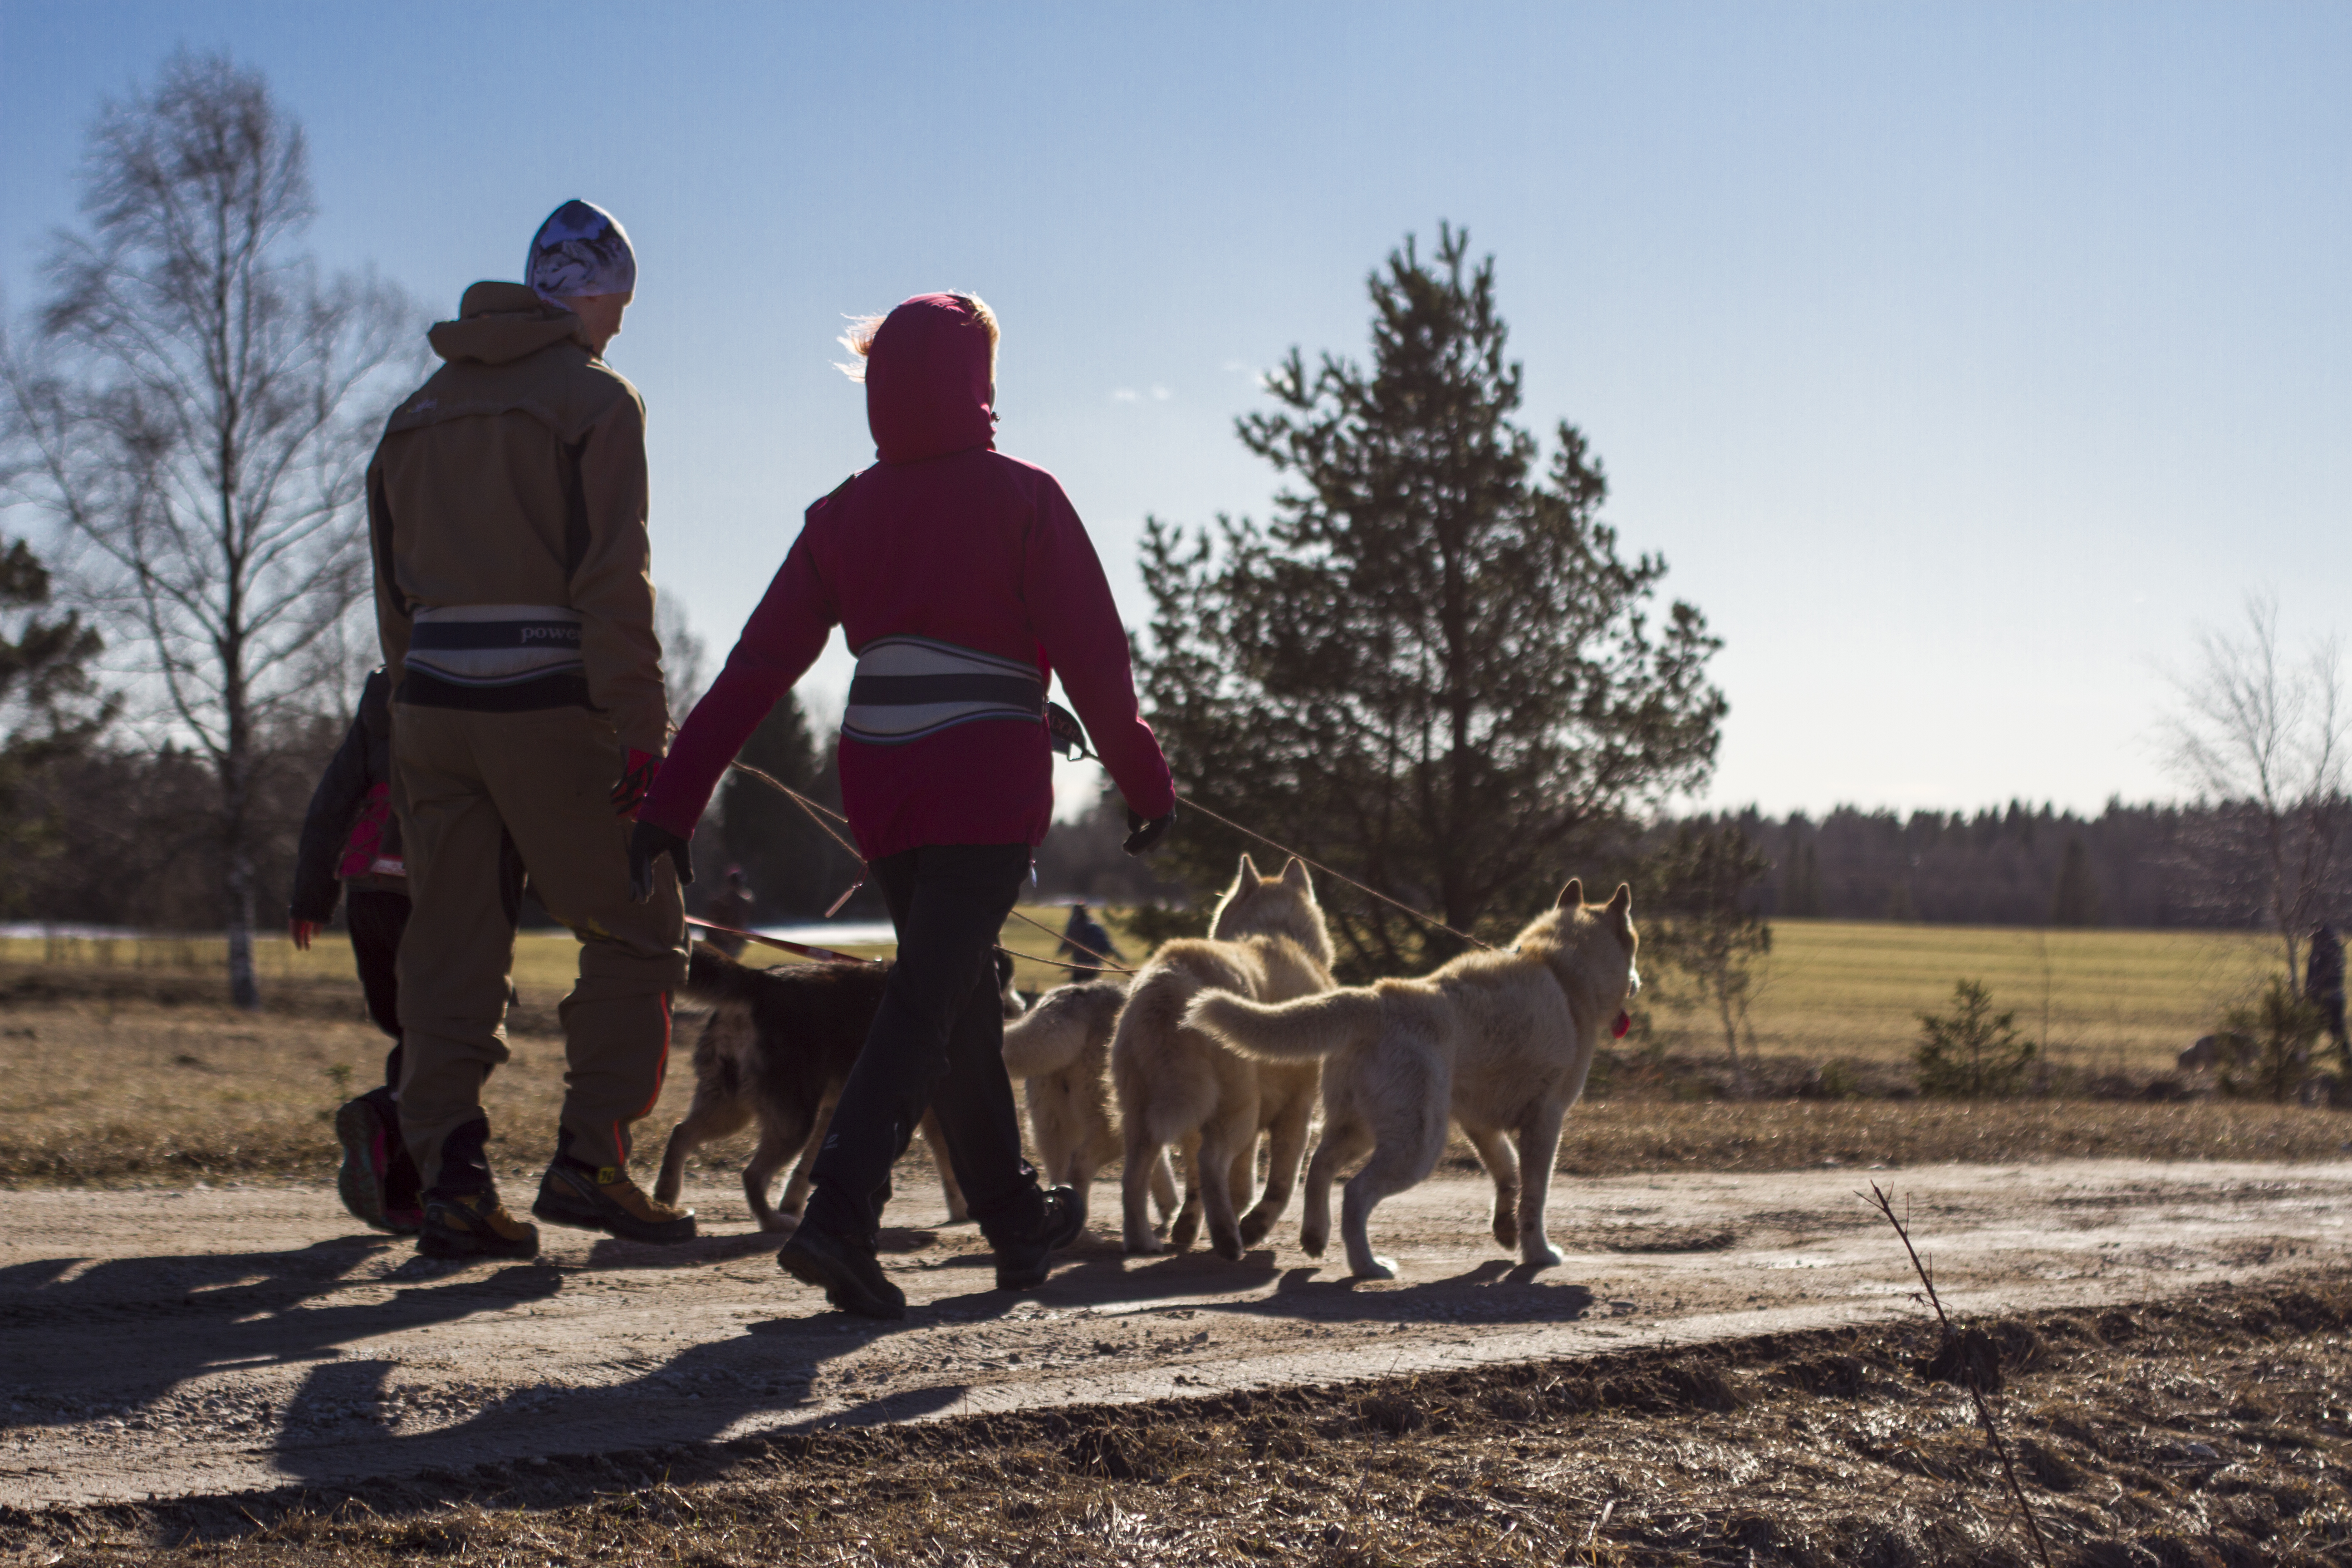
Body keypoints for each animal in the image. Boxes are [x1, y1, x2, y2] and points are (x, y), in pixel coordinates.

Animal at [654, 940, 1020, 1232]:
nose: (1021, 1005)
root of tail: (761, 981)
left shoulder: (836, 1108)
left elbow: (806, 1168)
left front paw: (796, 1203)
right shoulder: (935, 1109)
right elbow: (950, 1161)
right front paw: (966, 1210)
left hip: (732, 1107)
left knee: (681, 1133)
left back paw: (665, 1198)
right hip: (792, 1119)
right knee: (751, 1175)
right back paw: (772, 1222)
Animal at [997, 982, 1176, 1222]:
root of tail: (1076, 996)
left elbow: (1158, 1170)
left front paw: (1171, 1212)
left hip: (1052, 1125)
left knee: (1058, 1176)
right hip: (1111, 1127)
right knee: (1079, 1167)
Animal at [1110, 860, 1336, 1260]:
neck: (1279, 932)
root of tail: (1171, 976)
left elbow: (1231, 1184)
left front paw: (1189, 1226)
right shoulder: (1297, 1110)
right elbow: (1280, 1184)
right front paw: (1255, 1226)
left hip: (1144, 1115)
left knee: (1135, 1178)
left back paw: (1143, 1242)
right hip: (1237, 1111)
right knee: (1210, 1162)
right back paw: (1228, 1239)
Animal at [1195, 879, 1637, 1279]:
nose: (1637, 983)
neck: (1562, 971)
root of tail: (1375, 1001)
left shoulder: (1479, 1123)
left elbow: (1507, 1171)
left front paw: (1505, 1229)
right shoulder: (1545, 1120)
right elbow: (1535, 1196)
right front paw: (1537, 1253)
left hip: (1363, 1129)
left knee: (1319, 1168)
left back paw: (1315, 1236)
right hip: (1417, 1147)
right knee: (1354, 1193)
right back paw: (1368, 1266)